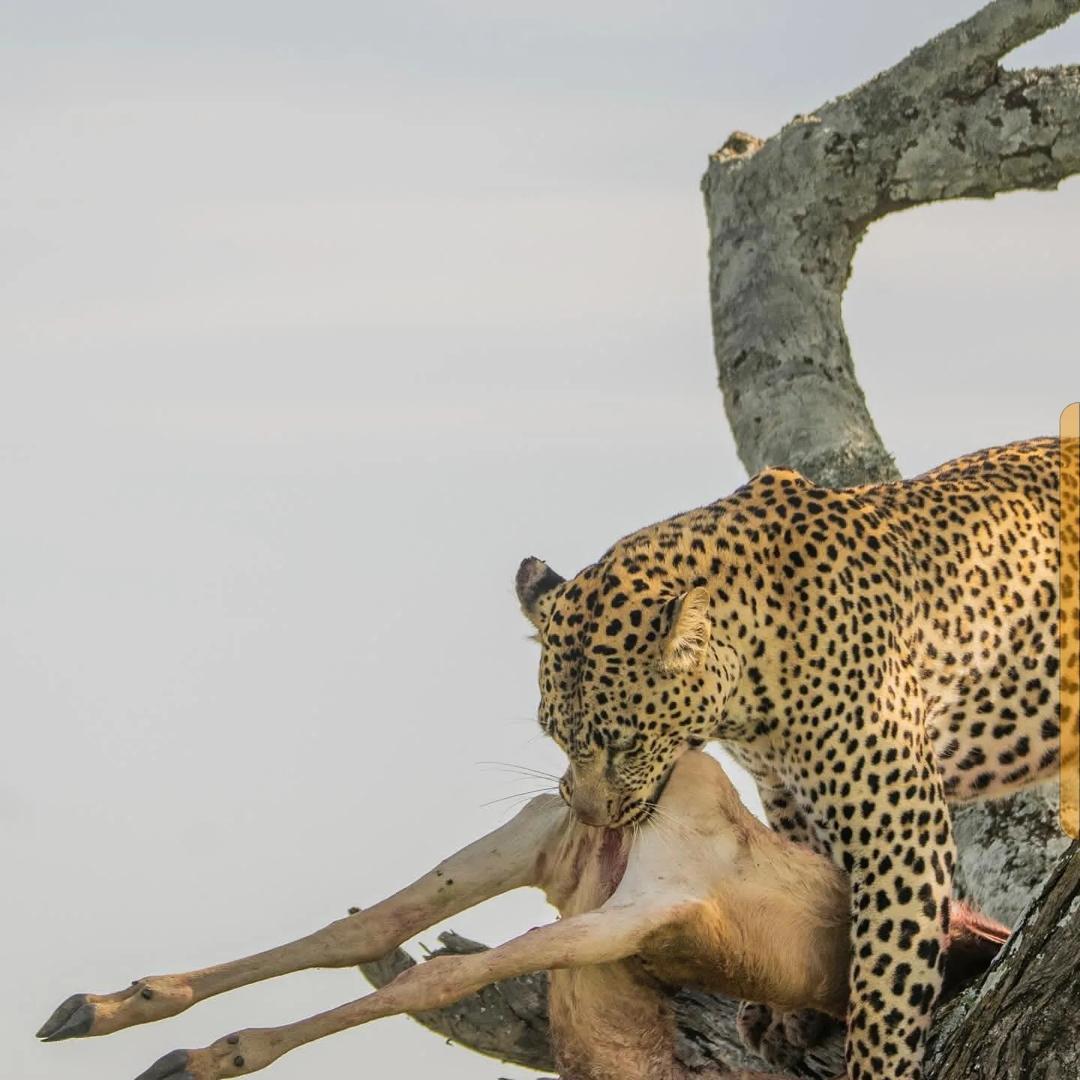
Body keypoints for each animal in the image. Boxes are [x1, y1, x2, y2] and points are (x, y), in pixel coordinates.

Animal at [514, 435, 1077, 1080]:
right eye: (554, 736)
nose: (589, 817)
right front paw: (792, 1013)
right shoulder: (785, 794)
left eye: (625, 742)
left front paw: (874, 1061)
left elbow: (887, 972)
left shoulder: (900, 824)